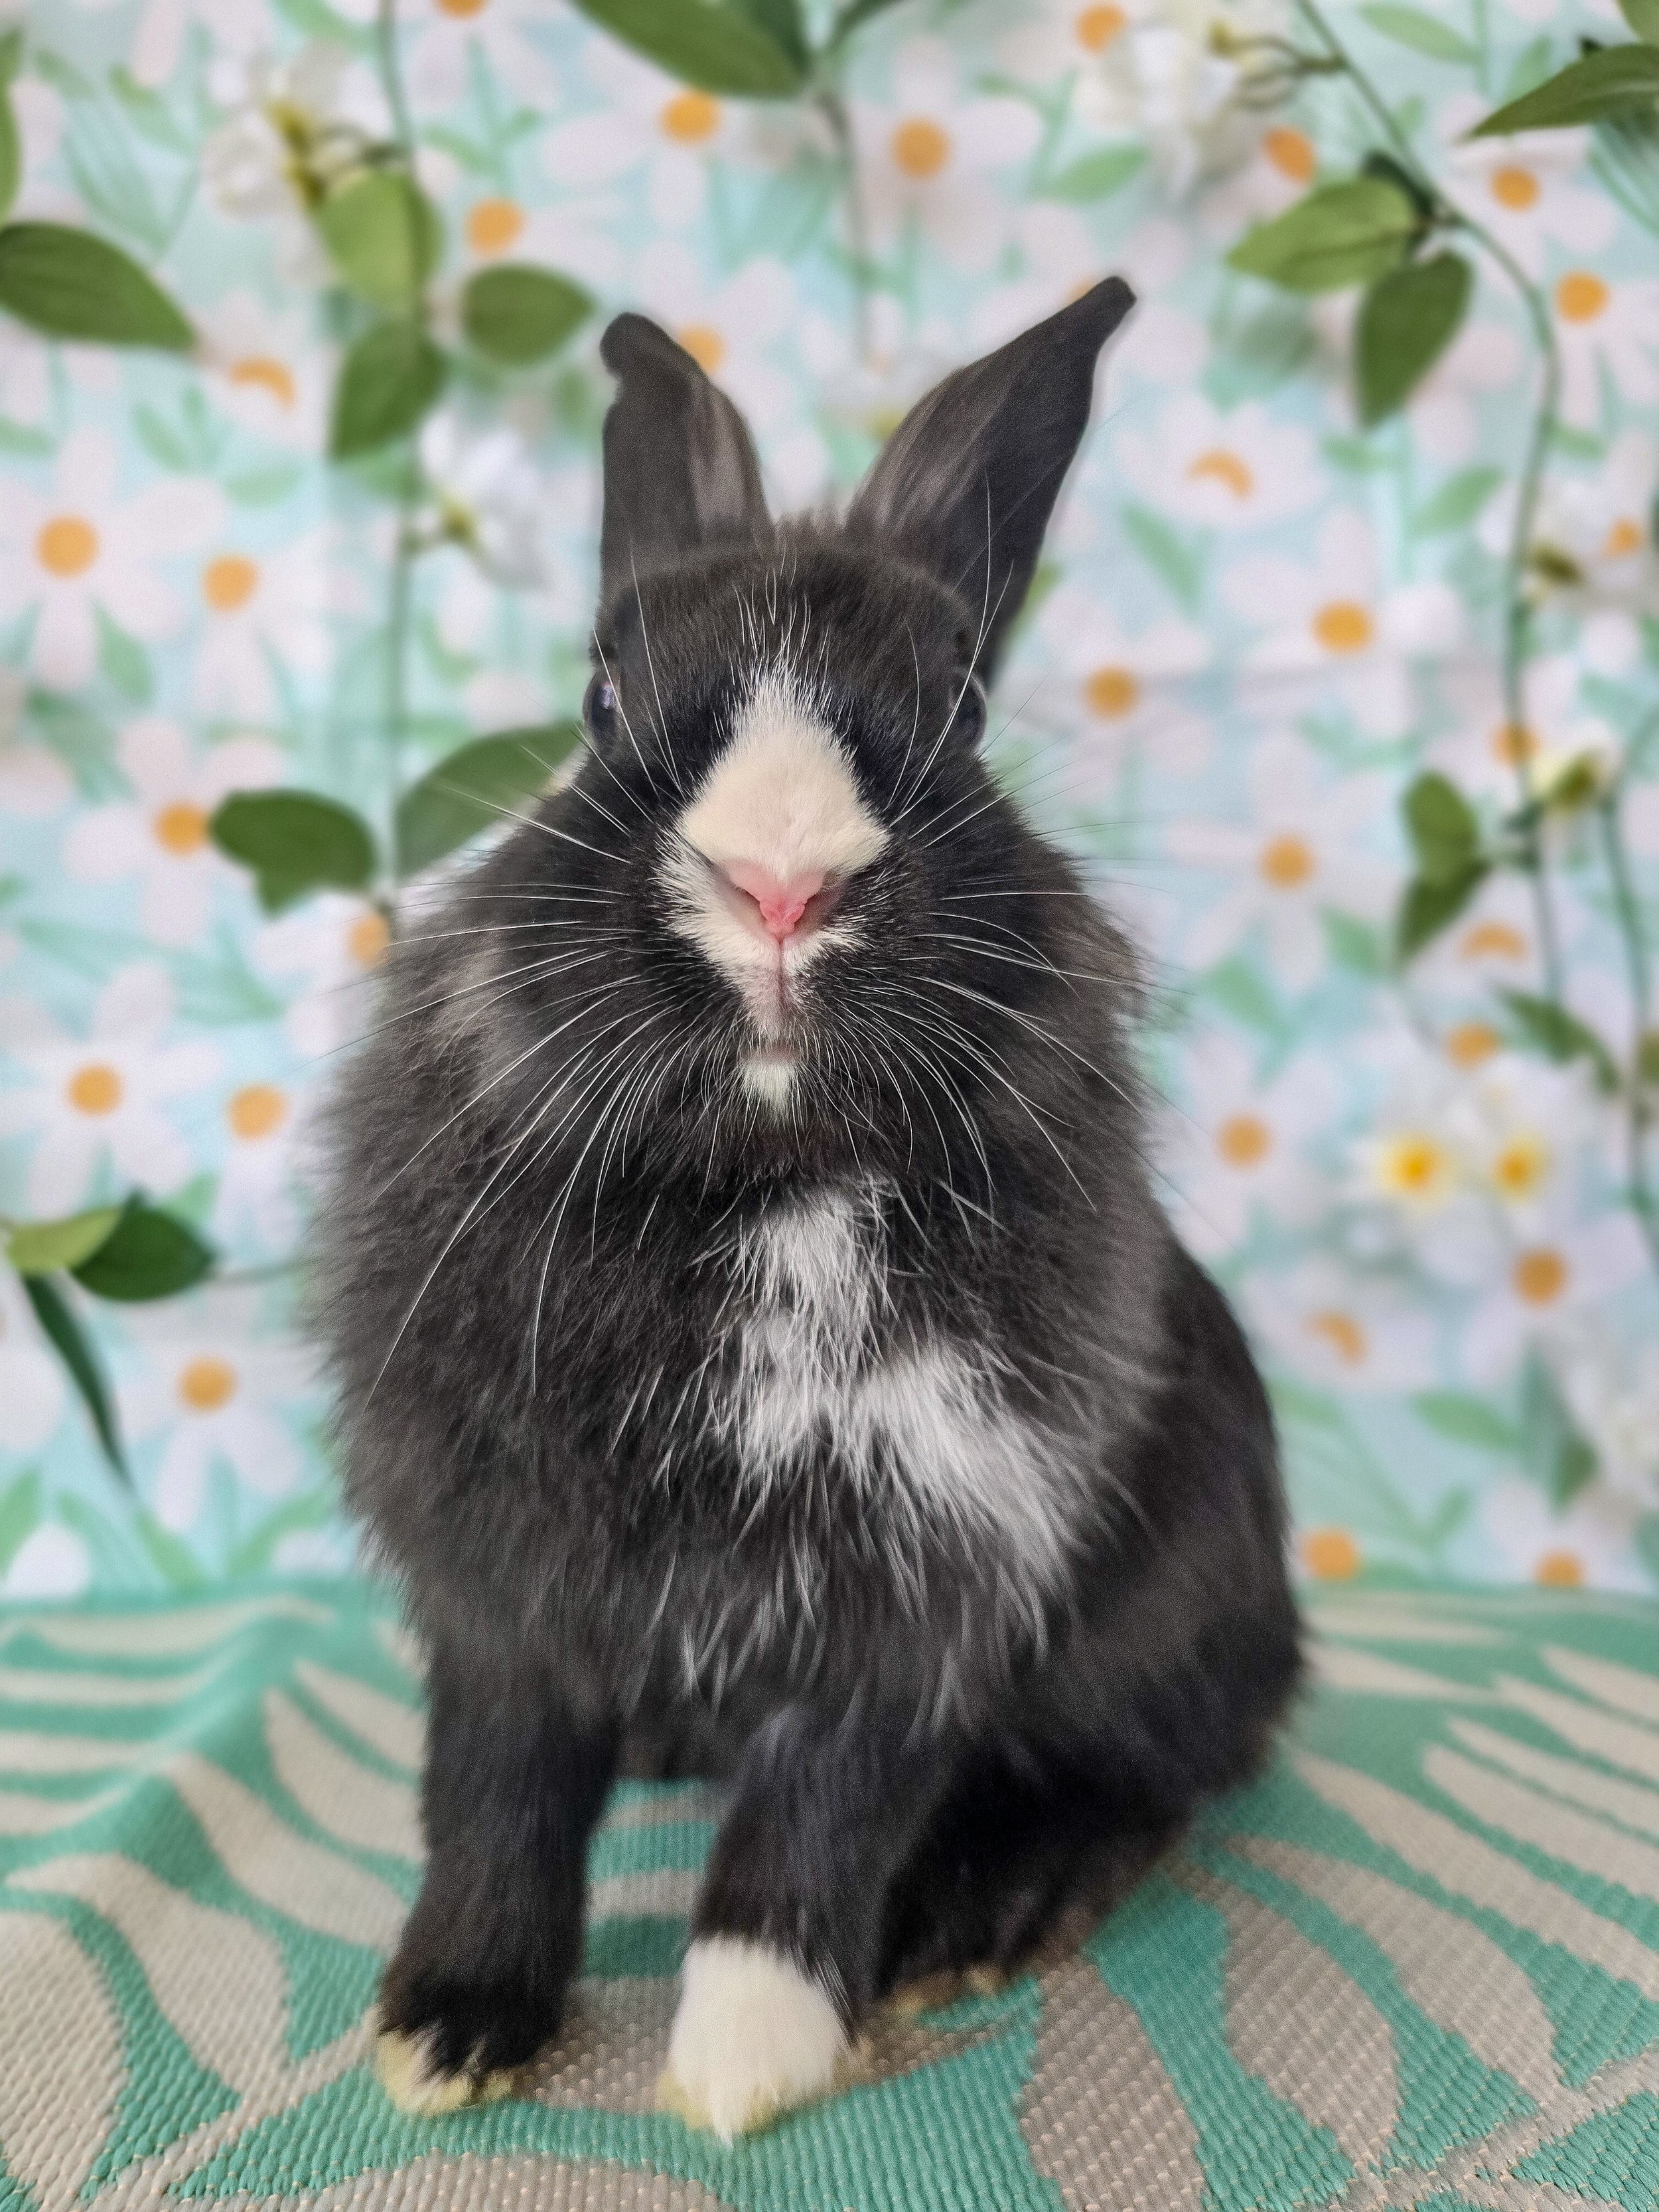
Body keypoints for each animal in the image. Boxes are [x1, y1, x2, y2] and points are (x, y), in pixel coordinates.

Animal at [317, 275, 1302, 2138]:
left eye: (963, 712)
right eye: (600, 701)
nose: (779, 886)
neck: (772, 1183)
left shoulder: (938, 1560)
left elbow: (817, 1821)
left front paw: (738, 2070)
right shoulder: (498, 1576)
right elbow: (493, 1793)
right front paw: (445, 2031)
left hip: (1168, 1614)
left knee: (1164, 1770)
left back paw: (992, 1906)